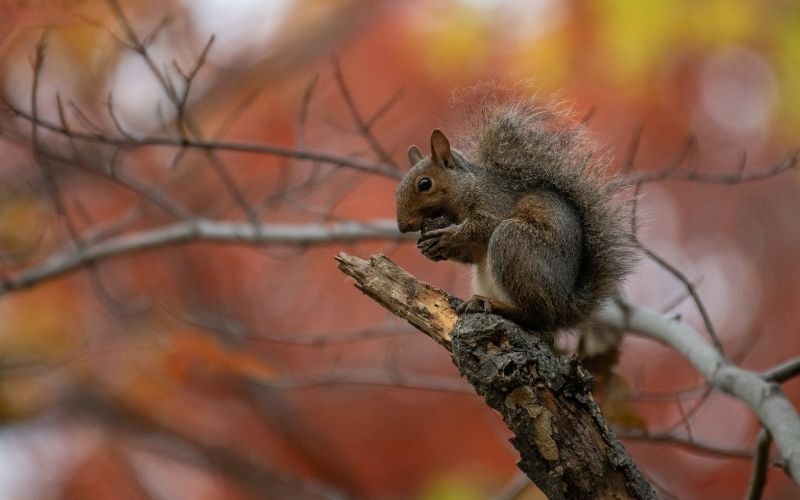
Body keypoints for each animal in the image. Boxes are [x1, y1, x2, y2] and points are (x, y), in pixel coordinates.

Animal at [395, 91, 636, 333]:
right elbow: (470, 254)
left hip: (513, 242)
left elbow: (485, 225)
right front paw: (430, 248)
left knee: (536, 315)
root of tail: (564, 308)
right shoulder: (475, 247)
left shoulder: (494, 201)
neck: (464, 190)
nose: (402, 226)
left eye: (424, 184)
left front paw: (448, 236)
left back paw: (492, 304)